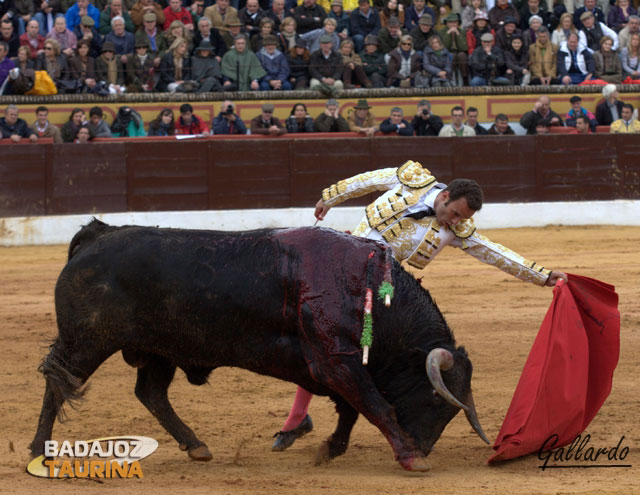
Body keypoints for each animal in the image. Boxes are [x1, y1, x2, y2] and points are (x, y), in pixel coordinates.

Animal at [30, 222, 488, 472]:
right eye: (436, 397)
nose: (423, 445)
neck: (368, 287)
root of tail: (98, 234)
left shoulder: (337, 366)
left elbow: (352, 409)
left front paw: (329, 449)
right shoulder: (336, 362)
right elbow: (375, 405)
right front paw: (411, 458)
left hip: (161, 349)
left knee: (151, 393)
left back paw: (196, 445)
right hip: (86, 341)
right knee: (59, 383)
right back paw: (39, 450)